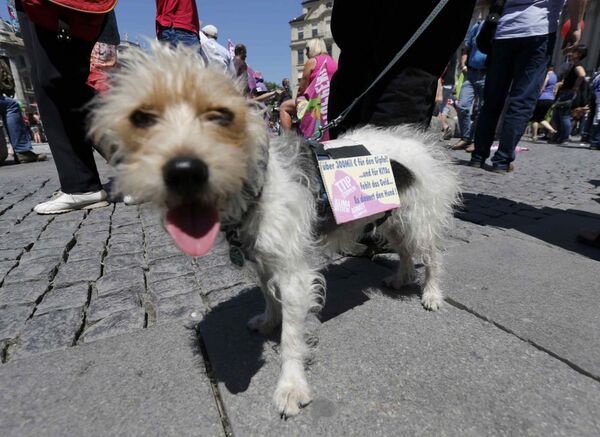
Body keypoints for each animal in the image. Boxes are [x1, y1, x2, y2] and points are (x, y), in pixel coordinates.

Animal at [90, 42, 460, 418]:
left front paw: (291, 386)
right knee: (405, 251)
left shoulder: (295, 274)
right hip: (392, 218)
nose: (184, 170)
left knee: (432, 257)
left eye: (221, 116)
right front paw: (269, 322)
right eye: (141, 118)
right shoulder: (263, 263)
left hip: (419, 218)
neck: (258, 191)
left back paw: (431, 293)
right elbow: (269, 296)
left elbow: (292, 338)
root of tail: (418, 140)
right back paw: (401, 278)